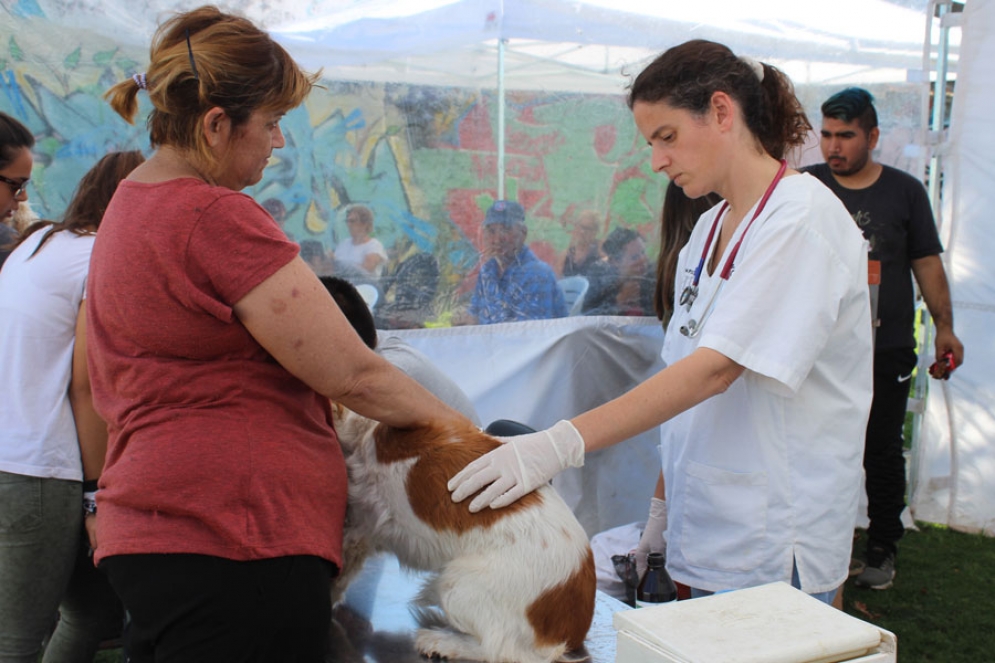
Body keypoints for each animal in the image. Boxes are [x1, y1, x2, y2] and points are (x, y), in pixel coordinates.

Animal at [334, 404, 596, 663]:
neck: (364, 433)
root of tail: (575, 628)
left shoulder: (361, 524)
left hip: (458, 584)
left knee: (498, 650)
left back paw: (441, 642)